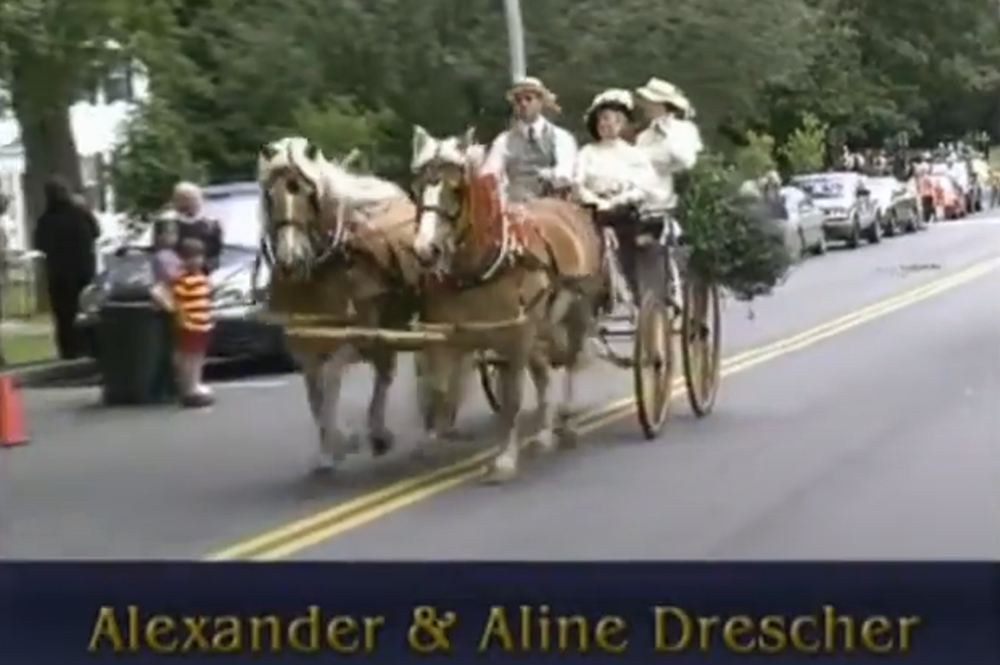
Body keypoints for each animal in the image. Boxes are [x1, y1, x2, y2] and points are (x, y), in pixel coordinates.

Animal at [256, 136, 424, 471]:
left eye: (308, 194)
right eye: (269, 195)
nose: (290, 261)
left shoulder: (360, 337)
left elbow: (332, 377)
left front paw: (343, 440)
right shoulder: (304, 347)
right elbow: (314, 394)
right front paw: (326, 450)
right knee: (385, 372)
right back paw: (378, 432)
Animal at [408, 125, 605, 482]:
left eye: (456, 190)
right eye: (417, 189)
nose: (426, 251)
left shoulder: (515, 337)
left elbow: (512, 399)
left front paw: (504, 459)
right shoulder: (449, 336)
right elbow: (440, 389)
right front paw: (434, 439)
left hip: (574, 314)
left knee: (569, 361)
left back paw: (566, 423)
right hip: (541, 326)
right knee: (543, 372)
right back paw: (543, 434)